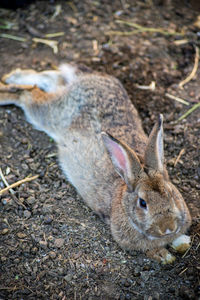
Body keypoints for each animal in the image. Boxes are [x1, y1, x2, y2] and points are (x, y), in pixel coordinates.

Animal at [0, 63, 191, 262]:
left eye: (170, 194)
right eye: (143, 203)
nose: (167, 227)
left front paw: (181, 243)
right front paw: (164, 256)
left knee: (48, 79)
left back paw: (13, 76)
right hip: (52, 114)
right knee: (28, 94)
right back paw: (7, 86)